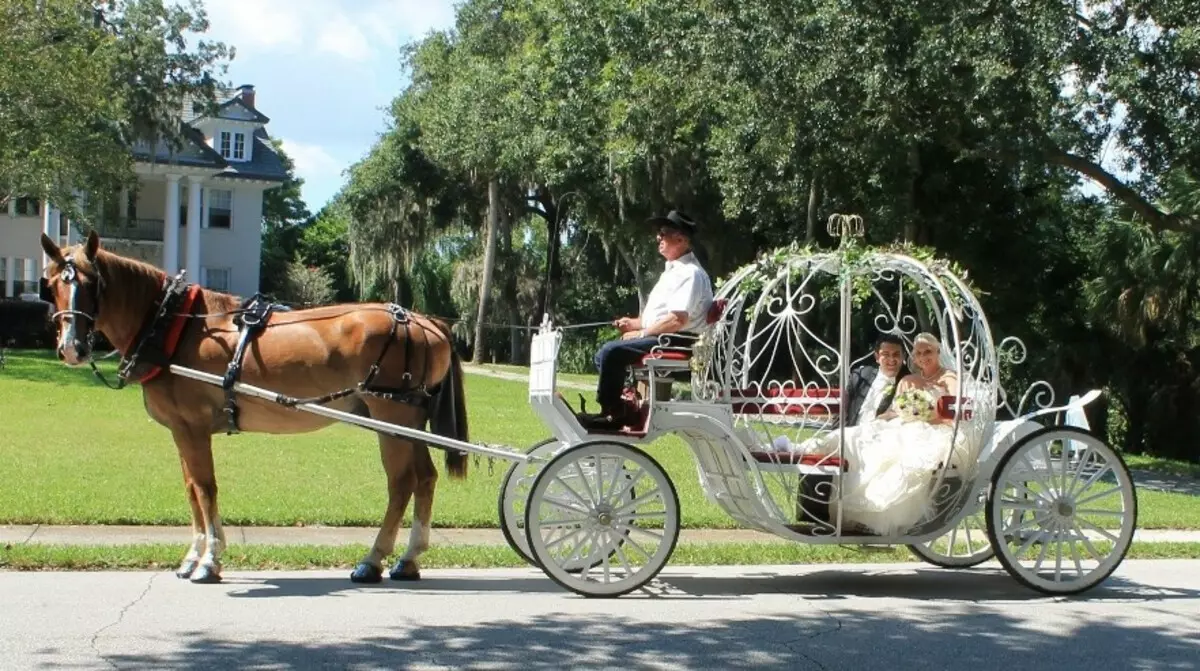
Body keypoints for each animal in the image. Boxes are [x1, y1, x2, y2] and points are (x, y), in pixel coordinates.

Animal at [38, 234, 468, 585]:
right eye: (51, 284)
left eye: (93, 283)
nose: (72, 348)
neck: (174, 327)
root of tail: (423, 320)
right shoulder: (180, 430)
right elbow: (191, 490)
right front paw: (192, 556)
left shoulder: (192, 428)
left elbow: (205, 488)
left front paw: (209, 561)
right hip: (408, 421)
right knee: (425, 478)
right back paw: (408, 560)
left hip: (391, 419)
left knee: (401, 483)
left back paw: (372, 560)